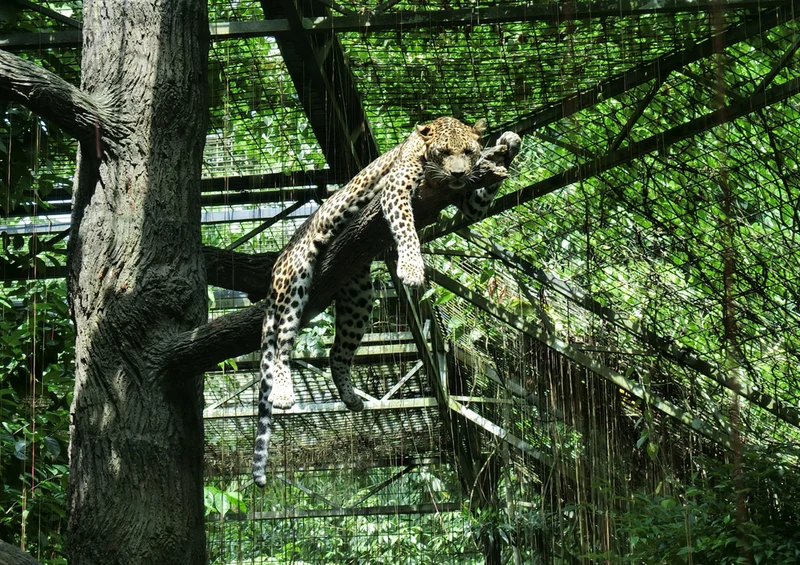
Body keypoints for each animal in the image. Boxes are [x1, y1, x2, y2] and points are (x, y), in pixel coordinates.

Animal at [253, 117, 519, 487]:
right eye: (444, 152)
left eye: (468, 152)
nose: (456, 174)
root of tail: (279, 260)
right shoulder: (396, 190)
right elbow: (407, 229)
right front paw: (411, 267)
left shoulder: (469, 202)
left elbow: (479, 198)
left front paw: (509, 142)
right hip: (295, 281)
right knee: (280, 342)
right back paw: (282, 392)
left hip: (358, 294)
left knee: (337, 351)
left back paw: (351, 397)